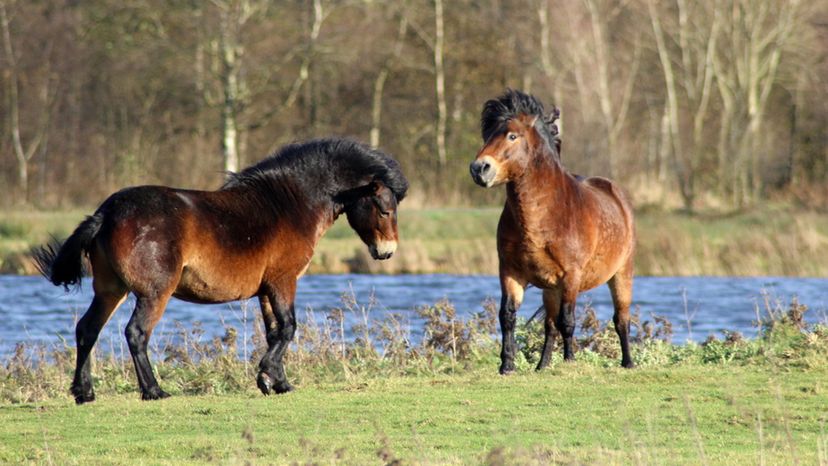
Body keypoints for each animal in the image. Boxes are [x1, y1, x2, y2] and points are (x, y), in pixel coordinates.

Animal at [34, 138, 410, 404]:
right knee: (136, 333)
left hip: (110, 290)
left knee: (88, 330)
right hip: (154, 293)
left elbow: (274, 332)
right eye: (384, 208)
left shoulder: (265, 289)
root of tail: (107, 213)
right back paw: (153, 390)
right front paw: (268, 374)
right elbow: (289, 328)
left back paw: (84, 392)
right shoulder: (283, 281)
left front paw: (276, 382)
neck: (289, 204)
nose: (387, 252)